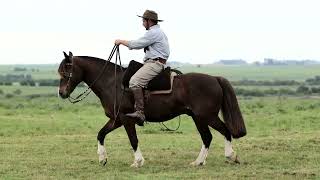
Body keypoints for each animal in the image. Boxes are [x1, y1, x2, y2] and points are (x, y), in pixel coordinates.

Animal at [58, 51, 248, 167]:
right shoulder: (116, 119)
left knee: (225, 131)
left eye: (66, 71)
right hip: (198, 118)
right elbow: (100, 134)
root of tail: (215, 78)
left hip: (207, 116)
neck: (111, 82)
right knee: (207, 137)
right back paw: (198, 162)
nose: (62, 93)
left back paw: (230, 156)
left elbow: (133, 140)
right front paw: (102, 158)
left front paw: (138, 162)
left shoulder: (127, 119)